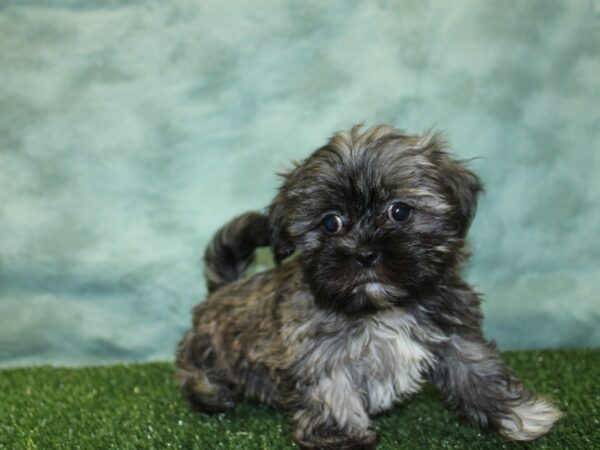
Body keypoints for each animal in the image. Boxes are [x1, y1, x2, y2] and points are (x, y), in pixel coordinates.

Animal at [176, 125, 560, 450]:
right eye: (330, 223)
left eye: (399, 211)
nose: (364, 253)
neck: (381, 307)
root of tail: (220, 290)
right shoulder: (316, 351)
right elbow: (330, 391)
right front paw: (340, 437)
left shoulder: (455, 332)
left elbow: (479, 371)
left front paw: (521, 416)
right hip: (204, 349)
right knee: (188, 370)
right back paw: (210, 390)